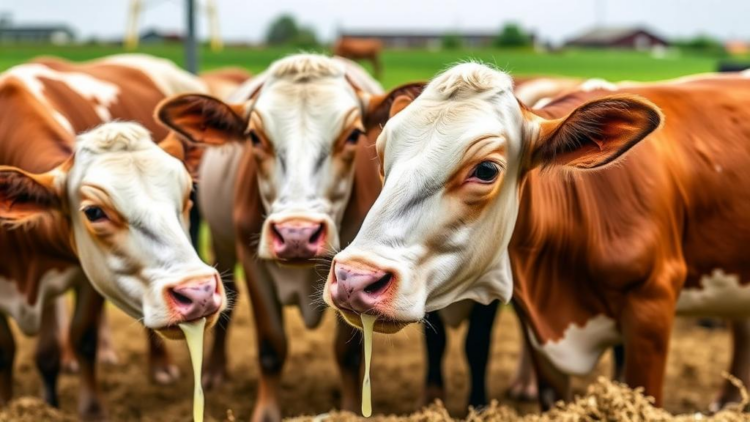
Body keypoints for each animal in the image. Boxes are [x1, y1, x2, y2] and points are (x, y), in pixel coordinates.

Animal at [0, 55, 229, 419]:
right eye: (94, 212)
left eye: (187, 194)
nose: (199, 292)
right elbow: (8, 352)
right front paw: (15, 405)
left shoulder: (87, 276)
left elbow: (79, 339)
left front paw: (90, 410)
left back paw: (159, 366)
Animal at [156, 53, 425, 421]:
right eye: (254, 137)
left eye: (354, 135)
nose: (297, 234)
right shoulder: (252, 262)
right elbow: (272, 346)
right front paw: (266, 412)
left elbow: (349, 354)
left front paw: (349, 409)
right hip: (223, 245)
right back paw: (214, 370)